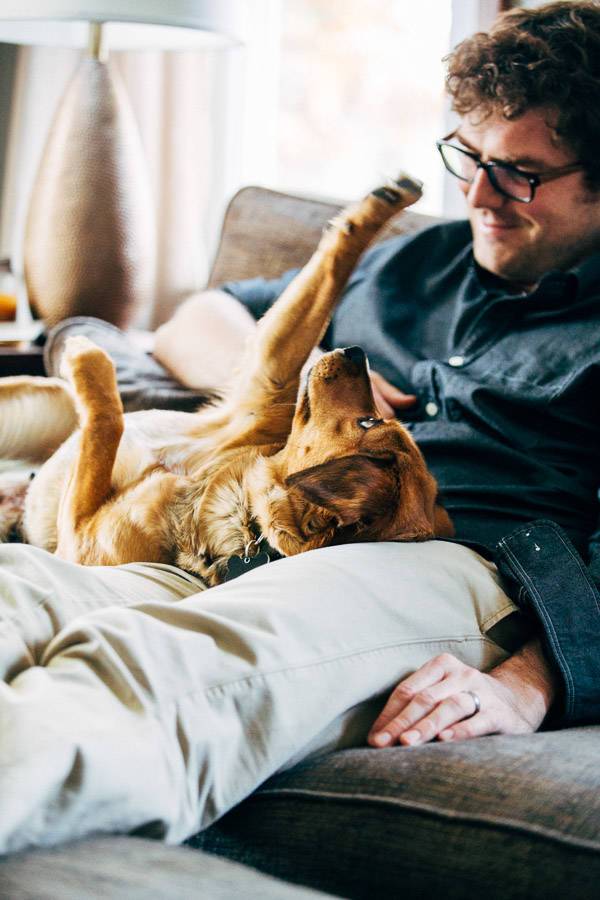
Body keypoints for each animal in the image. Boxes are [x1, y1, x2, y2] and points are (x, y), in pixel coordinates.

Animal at [2, 178, 452, 588]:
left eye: (367, 423)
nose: (357, 352)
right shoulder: (265, 384)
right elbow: (328, 276)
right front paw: (386, 200)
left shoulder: (77, 535)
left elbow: (107, 421)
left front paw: (85, 355)